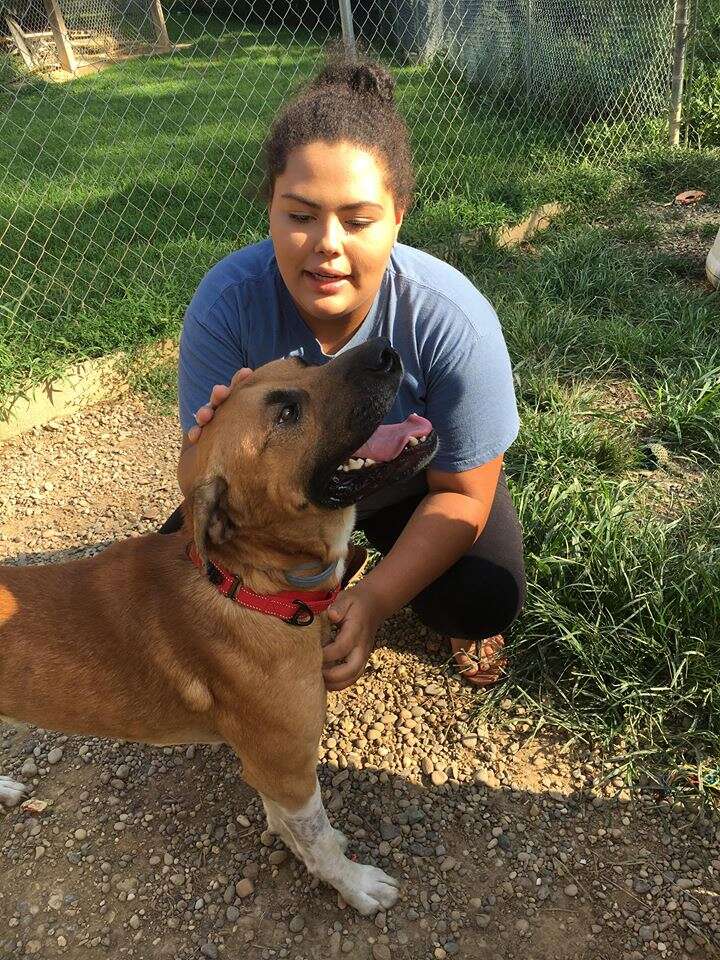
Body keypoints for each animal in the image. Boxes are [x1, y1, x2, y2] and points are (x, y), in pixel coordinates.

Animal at [0, 340, 436, 916]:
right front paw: (354, 884)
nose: (385, 351)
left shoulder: (272, 768)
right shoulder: (289, 767)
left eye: (304, 361)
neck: (250, 586)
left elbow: (292, 824)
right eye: (287, 414)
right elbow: (317, 838)